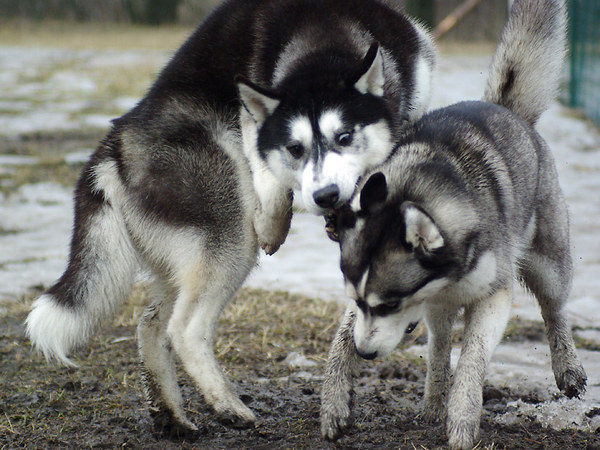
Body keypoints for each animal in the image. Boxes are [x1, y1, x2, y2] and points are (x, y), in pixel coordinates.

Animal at [25, 0, 435, 437]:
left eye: (344, 137)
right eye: (294, 148)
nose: (325, 196)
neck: (321, 33)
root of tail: (114, 147)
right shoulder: (251, 123)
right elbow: (267, 174)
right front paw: (274, 224)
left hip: (183, 258)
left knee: (152, 324)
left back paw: (172, 414)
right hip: (229, 226)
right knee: (185, 329)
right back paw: (227, 405)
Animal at [320, 0, 587, 448]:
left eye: (389, 305)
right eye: (359, 301)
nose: (366, 354)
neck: (416, 187)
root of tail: (506, 108)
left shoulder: (494, 297)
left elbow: (472, 359)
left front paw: (462, 419)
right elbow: (345, 339)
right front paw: (335, 400)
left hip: (547, 263)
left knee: (554, 308)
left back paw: (567, 366)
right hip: (441, 310)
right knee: (441, 343)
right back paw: (431, 402)